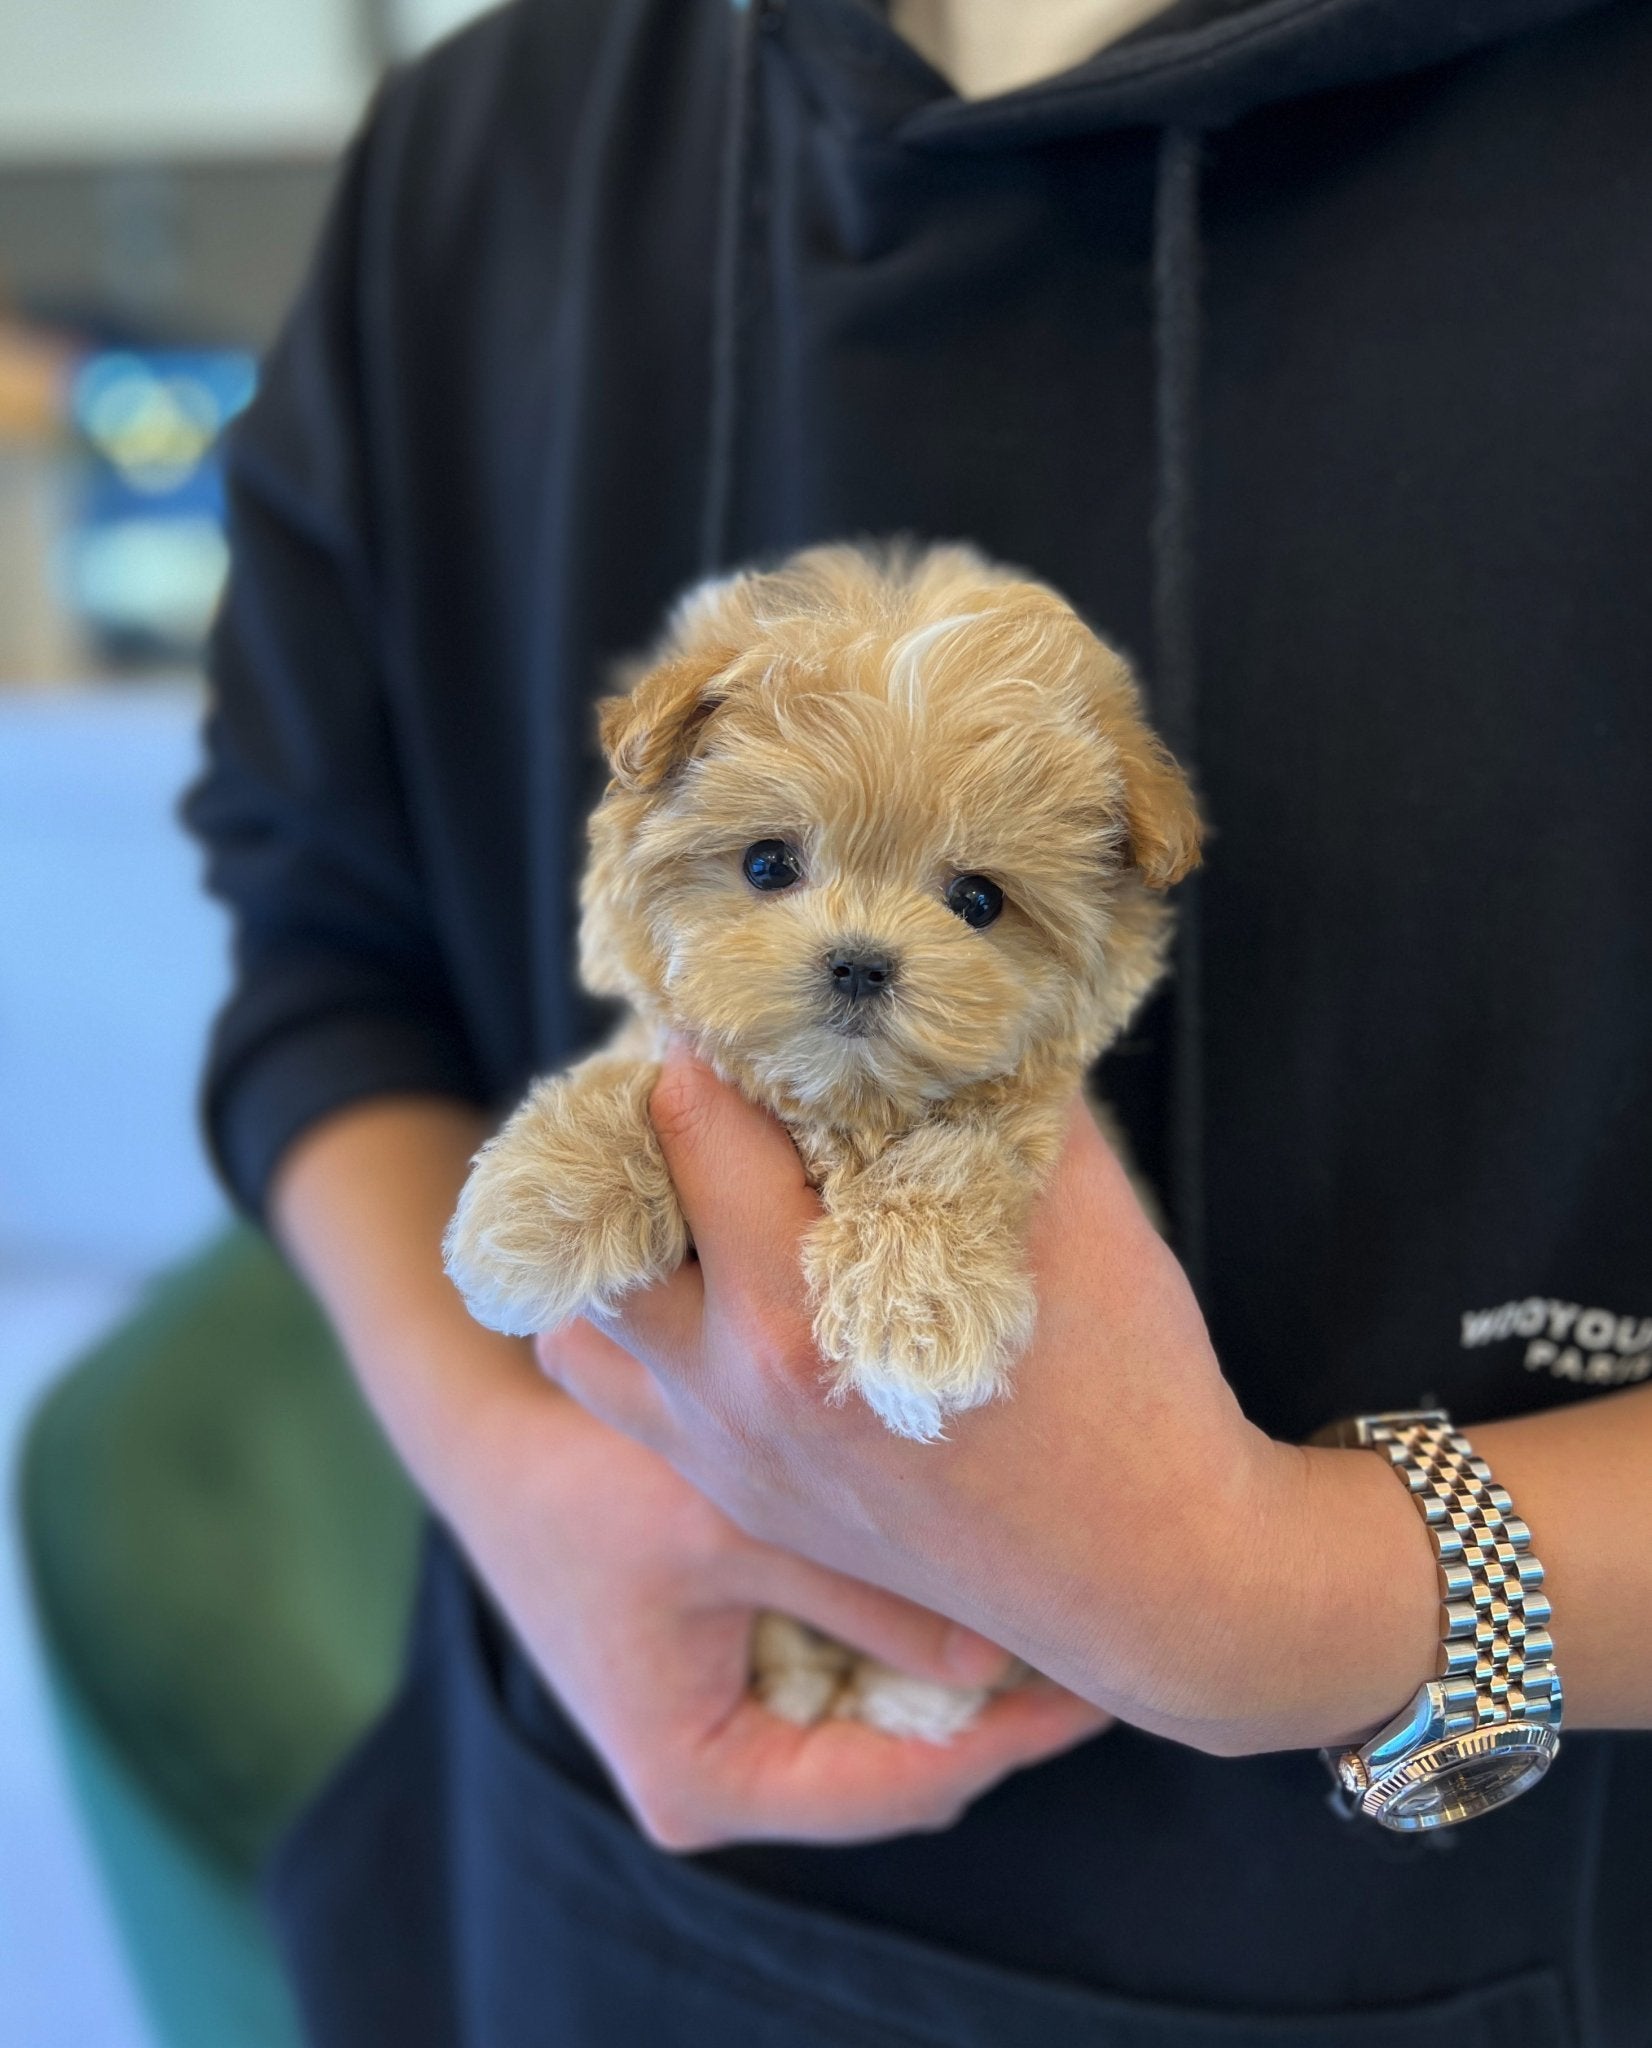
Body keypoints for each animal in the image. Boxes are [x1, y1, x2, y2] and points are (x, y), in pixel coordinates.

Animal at [446, 536, 1195, 1736]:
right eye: (766, 864)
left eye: (978, 900)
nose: (858, 961)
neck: (837, 1111)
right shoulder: (689, 1061)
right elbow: (630, 1075)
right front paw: (533, 1210)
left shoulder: (1015, 1113)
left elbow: (960, 1146)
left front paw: (913, 1306)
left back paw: (903, 1695)